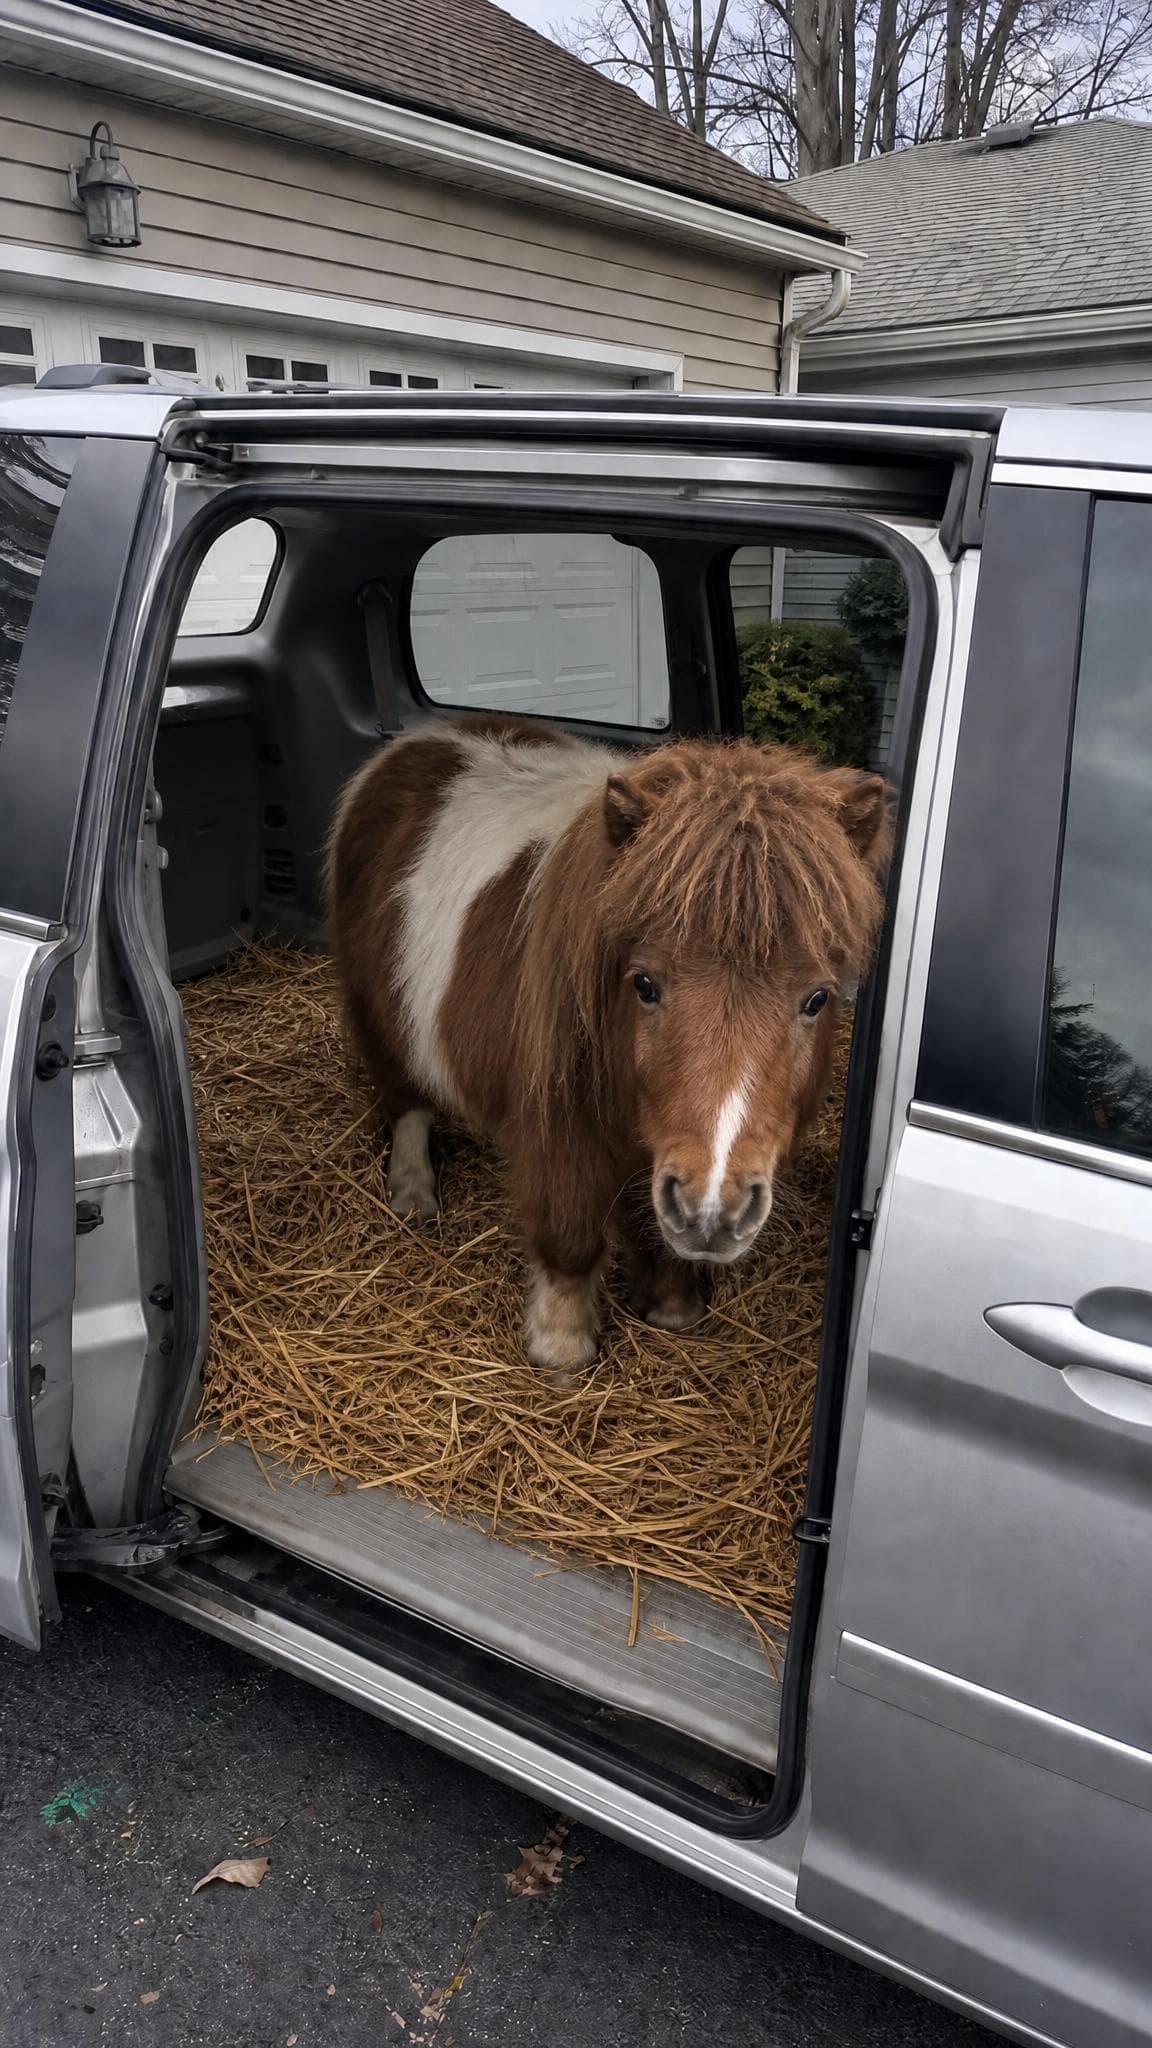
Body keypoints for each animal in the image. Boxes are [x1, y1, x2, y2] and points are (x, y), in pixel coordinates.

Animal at [327, 714, 889, 1375]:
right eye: (644, 983)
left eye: (818, 998)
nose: (715, 1213)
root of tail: (419, 738)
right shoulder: (557, 1131)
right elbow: (569, 1237)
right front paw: (561, 1348)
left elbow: (658, 1230)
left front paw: (672, 1308)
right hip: (378, 1013)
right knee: (405, 1102)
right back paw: (413, 1195)